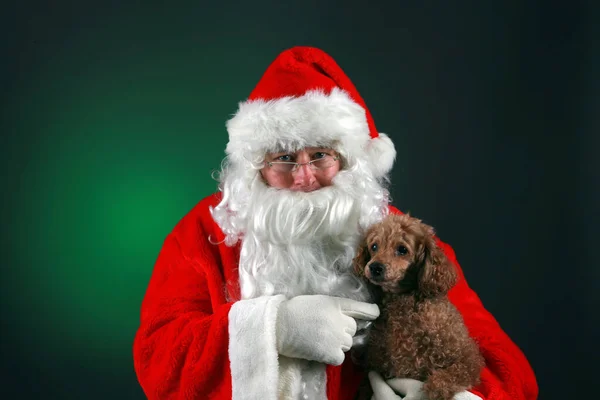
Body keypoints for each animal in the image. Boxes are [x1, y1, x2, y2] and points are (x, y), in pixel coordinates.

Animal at [354, 214, 486, 398]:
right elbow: (366, 386)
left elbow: (455, 373)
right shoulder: (376, 365)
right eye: (374, 246)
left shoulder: (468, 356)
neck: (403, 302)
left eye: (402, 249)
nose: (374, 267)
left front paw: (436, 389)